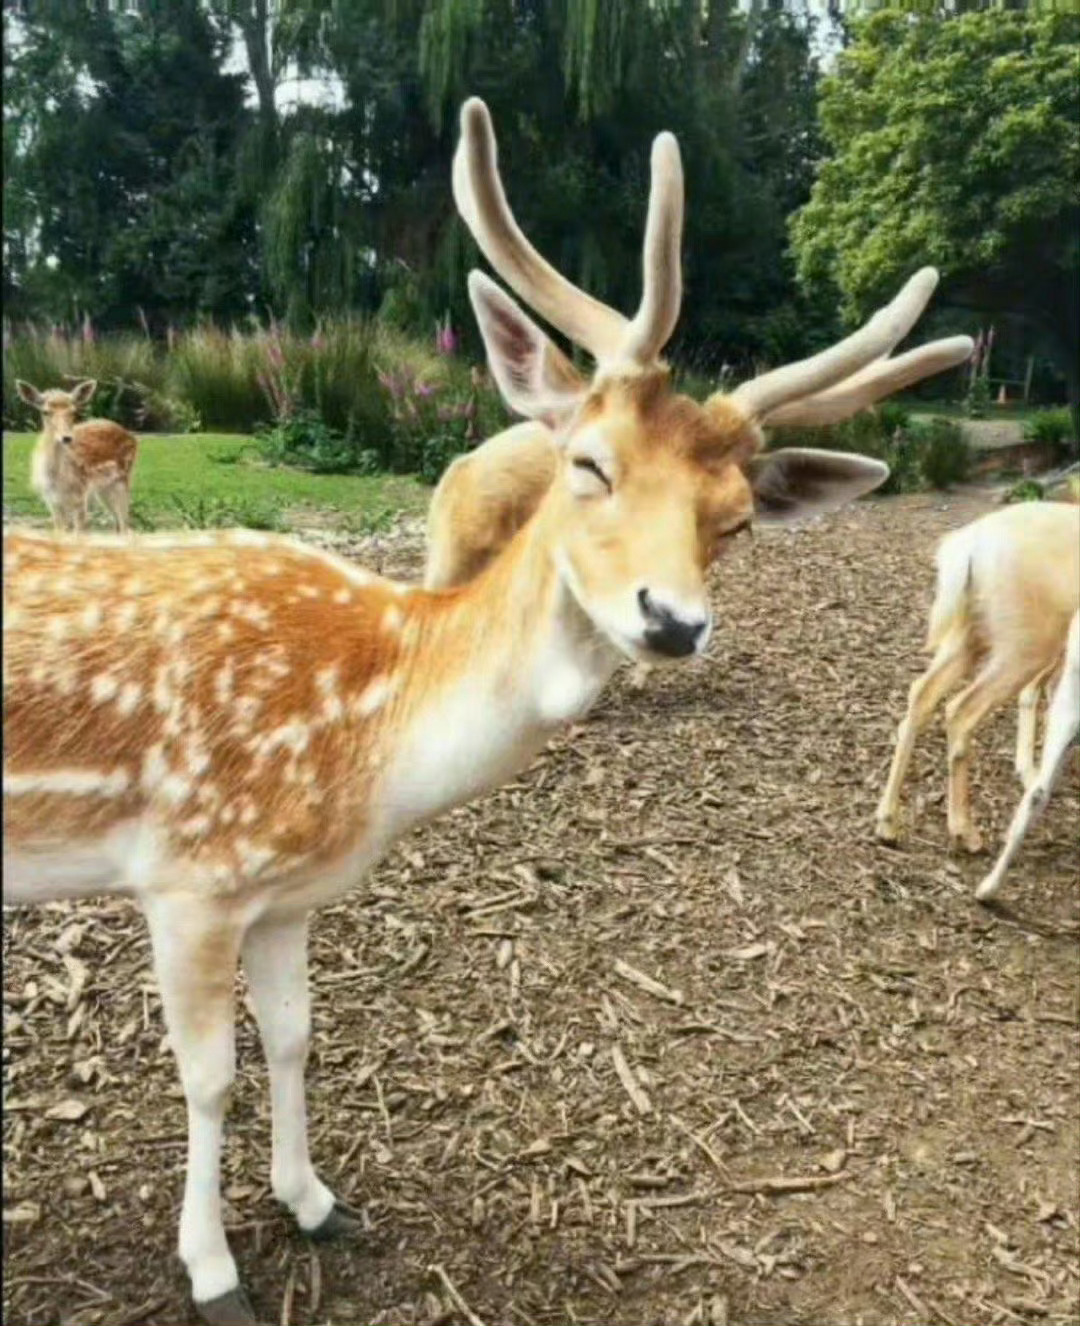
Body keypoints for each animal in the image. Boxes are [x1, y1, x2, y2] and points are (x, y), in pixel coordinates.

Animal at [15, 378, 138, 533]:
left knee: (125, 523)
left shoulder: (80, 496)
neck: (57, 480)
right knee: (117, 523)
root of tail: (132, 437)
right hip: (103, 489)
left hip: (123, 479)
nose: (66, 438)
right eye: (45, 412)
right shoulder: (51, 501)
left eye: (73, 411)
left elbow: (79, 532)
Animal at [875, 500, 1080, 893]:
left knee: (922, 694)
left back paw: (887, 824)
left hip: (973, 631)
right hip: (1024, 642)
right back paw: (965, 833)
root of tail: (969, 545)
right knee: (961, 709)